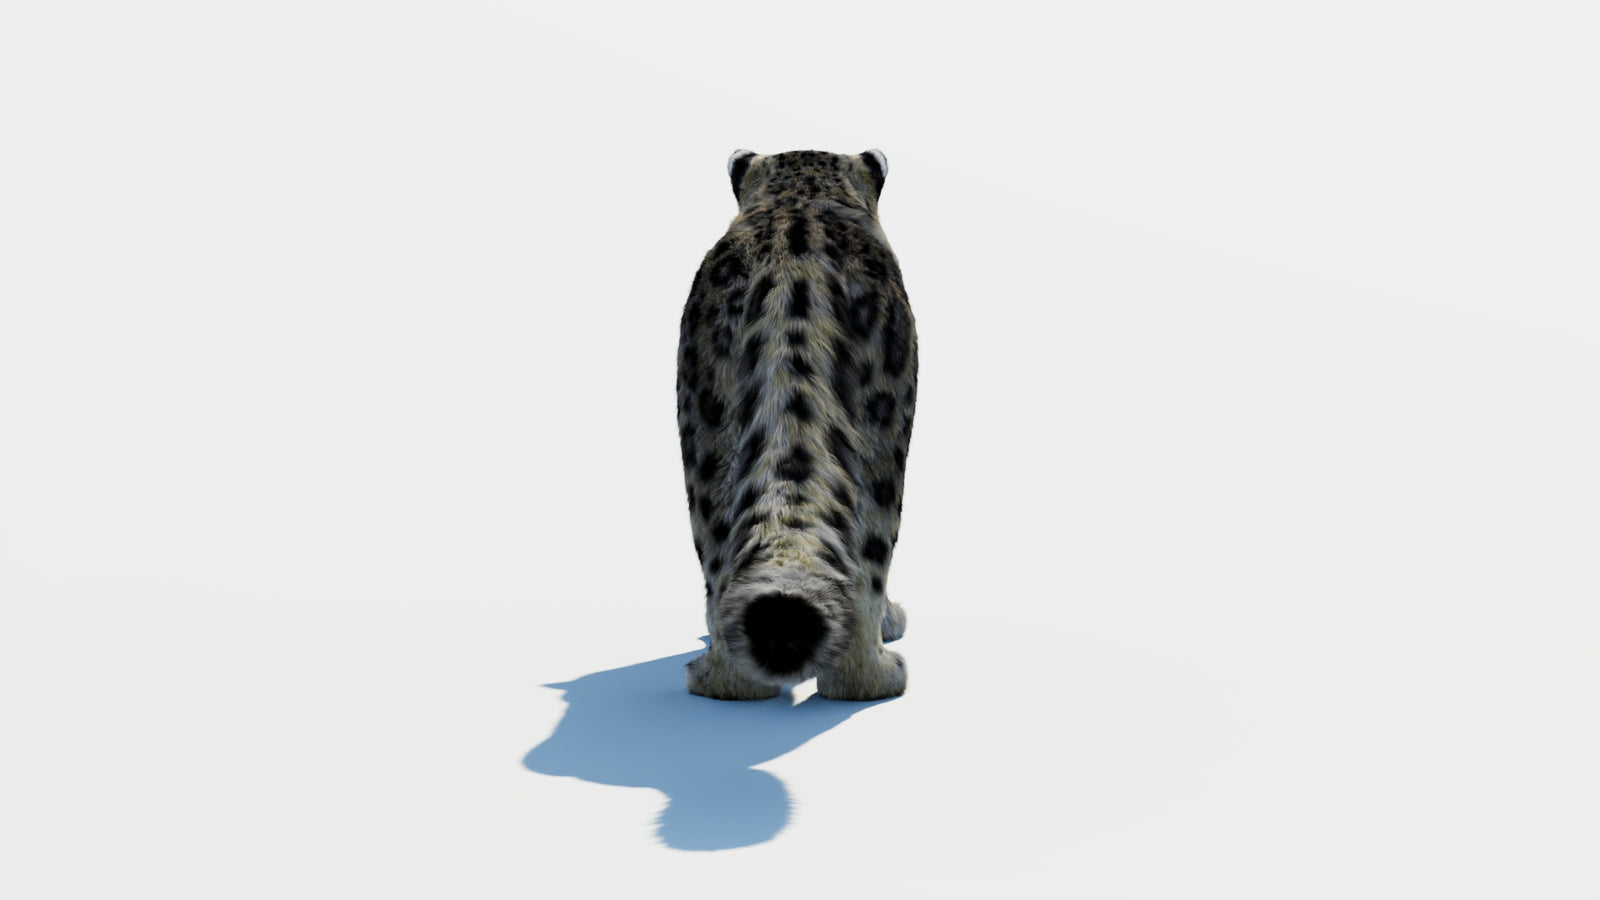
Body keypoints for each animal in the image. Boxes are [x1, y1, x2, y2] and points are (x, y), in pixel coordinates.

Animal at [676, 149, 917, 702]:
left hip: (704, 426)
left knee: (716, 549)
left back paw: (720, 678)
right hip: (885, 436)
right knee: (872, 548)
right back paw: (879, 672)